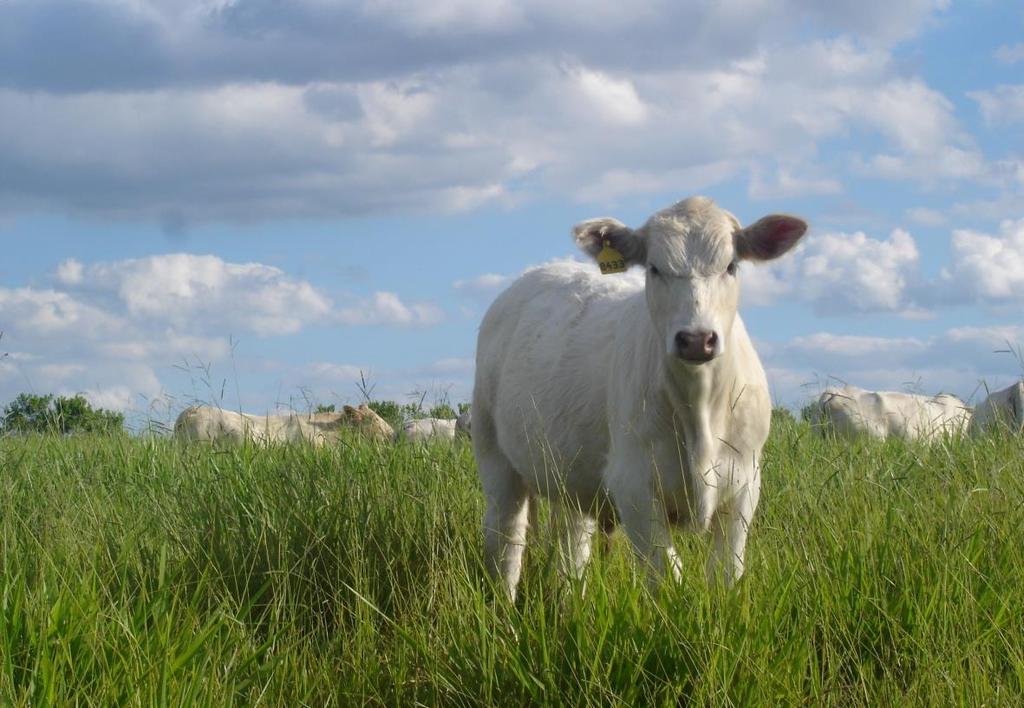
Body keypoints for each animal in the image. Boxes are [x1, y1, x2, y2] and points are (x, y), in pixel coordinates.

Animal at [471, 195, 806, 598]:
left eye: (731, 265)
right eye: (654, 267)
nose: (696, 339)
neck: (700, 412)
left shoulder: (744, 484)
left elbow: (726, 573)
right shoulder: (633, 484)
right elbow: (666, 576)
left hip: (569, 473)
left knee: (571, 546)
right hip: (494, 454)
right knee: (506, 543)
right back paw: (504, 607)